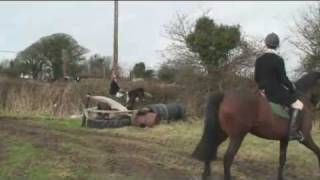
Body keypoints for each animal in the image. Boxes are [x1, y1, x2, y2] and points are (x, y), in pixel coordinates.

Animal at [191, 72, 320, 180]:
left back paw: (206, 175)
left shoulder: (284, 139)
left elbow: (282, 159)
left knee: (211, 147)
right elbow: (318, 151)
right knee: (227, 158)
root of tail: (225, 95)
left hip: (221, 133)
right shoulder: (306, 138)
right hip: (237, 136)